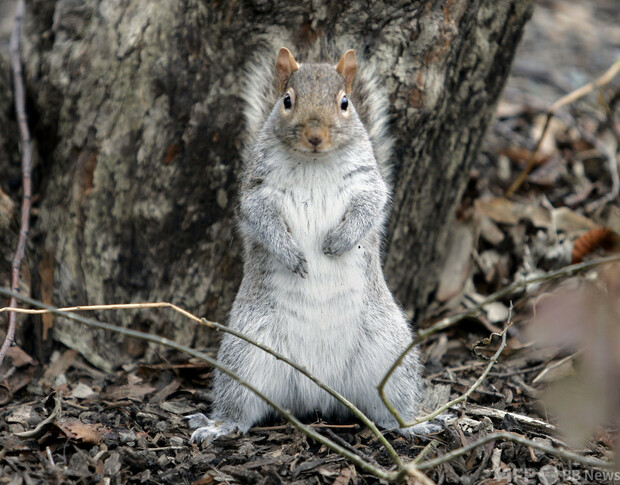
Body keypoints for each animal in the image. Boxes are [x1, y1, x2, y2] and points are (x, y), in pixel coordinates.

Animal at [186, 46, 438, 442]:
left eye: (345, 102)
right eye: (287, 100)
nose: (315, 135)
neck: (314, 163)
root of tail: (320, 391)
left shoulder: (368, 184)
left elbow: (371, 206)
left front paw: (338, 242)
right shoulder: (258, 190)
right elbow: (262, 218)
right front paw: (292, 255)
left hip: (390, 352)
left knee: (390, 406)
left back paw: (413, 424)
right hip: (246, 353)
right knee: (240, 405)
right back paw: (219, 425)